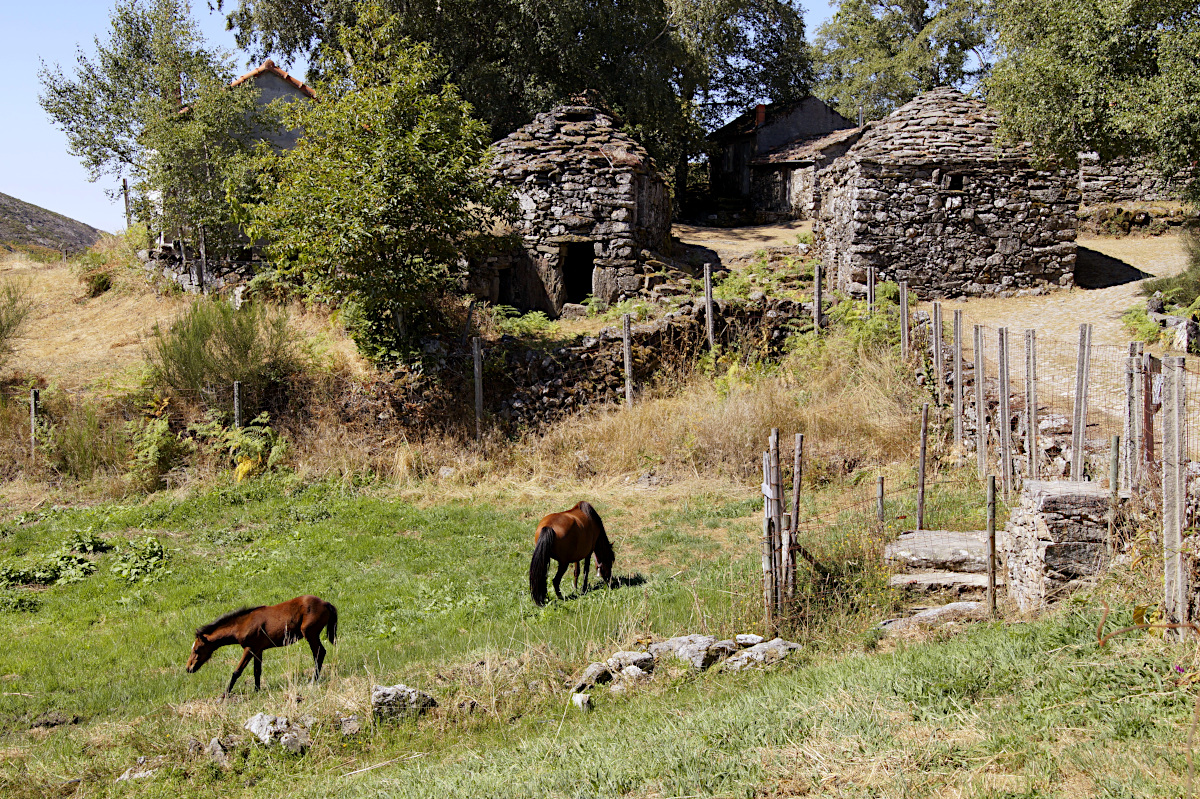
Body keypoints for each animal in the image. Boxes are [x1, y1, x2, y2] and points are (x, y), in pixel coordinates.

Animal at [186, 595, 338, 695]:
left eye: (197, 649)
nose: (188, 668)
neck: (243, 624)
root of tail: (326, 603)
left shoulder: (249, 649)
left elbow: (236, 672)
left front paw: (224, 695)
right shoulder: (258, 650)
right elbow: (257, 671)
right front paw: (257, 690)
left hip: (310, 634)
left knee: (319, 653)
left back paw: (313, 681)